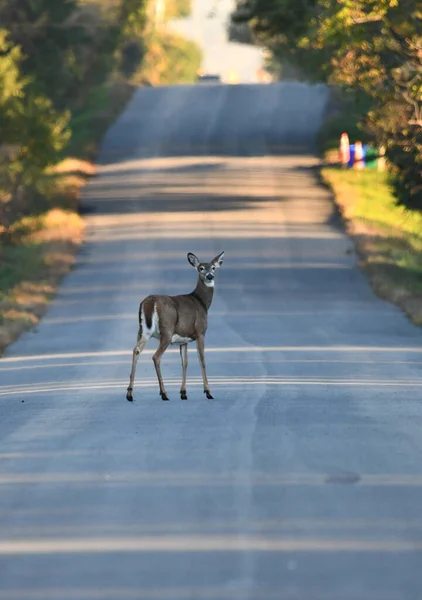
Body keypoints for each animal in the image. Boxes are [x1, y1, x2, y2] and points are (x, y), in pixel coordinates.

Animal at [125, 251, 224, 400]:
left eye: (213, 267)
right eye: (201, 268)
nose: (209, 276)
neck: (202, 302)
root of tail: (149, 302)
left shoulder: (184, 340)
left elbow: (185, 362)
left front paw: (183, 392)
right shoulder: (200, 331)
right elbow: (202, 359)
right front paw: (208, 392)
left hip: (142, 330)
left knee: (136, 350)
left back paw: (130, 393)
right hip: (167, 330)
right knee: (156, 356)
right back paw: (163, 393)